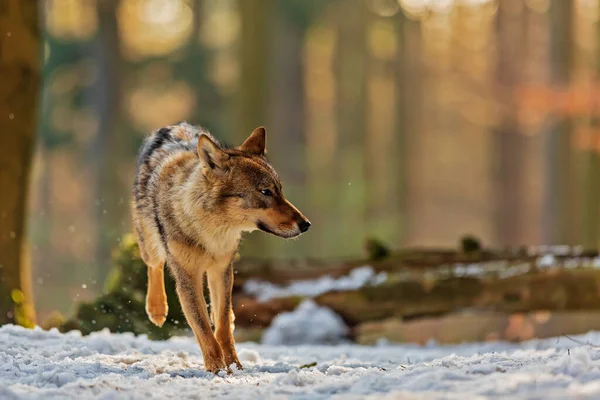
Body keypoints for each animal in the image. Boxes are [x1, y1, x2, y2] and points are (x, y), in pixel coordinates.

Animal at [131, 122, 310, 372]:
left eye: (280, 191)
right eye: (265, 191)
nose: (306, 224)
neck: (212, 233)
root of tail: (174, 126)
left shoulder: (221, 270)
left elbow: (223, 327)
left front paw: (234, 365)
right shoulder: (188, 278)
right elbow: (203, 329)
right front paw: (216, 368)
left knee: (222, 313)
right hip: (149, 242)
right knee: (154, 265)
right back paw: (157, 309)